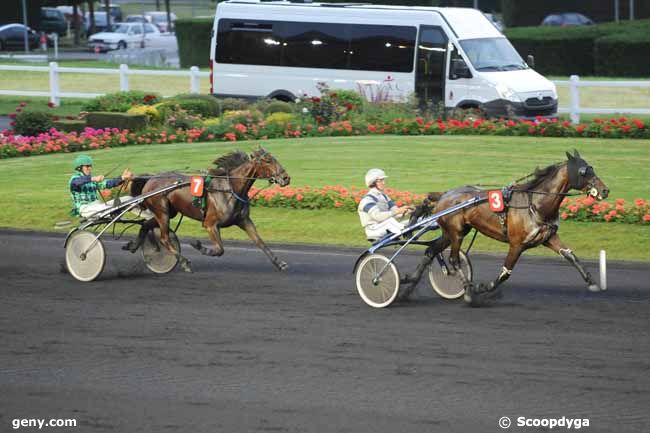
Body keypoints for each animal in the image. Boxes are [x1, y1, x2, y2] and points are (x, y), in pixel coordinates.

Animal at [123, 147, 288, 272]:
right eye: (268, 160)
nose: (286, 178)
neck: (230, 189)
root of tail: (150, 180)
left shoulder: (244, 220)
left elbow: (260, 242)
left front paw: (279, 263)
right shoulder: (210, 224)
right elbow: (220, 249)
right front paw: (199, 246)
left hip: (168, 213)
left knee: (145, 226)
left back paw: (133, 246)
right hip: (162, 212)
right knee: (164, 238)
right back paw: (184, 262)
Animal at [408, 150, 604, 306]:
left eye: (592, 168)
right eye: (583, 171)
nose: (605, 190)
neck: (536, 204)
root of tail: (444, 194)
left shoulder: (548, 238)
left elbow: (571, 255)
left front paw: (592, 282)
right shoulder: (517, 244)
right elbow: (505, 273)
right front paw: (481, 287)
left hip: (452, 232)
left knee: (431, 250)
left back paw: (408, 284)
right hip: (456, 233)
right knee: (454, 260)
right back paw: (468, 292)